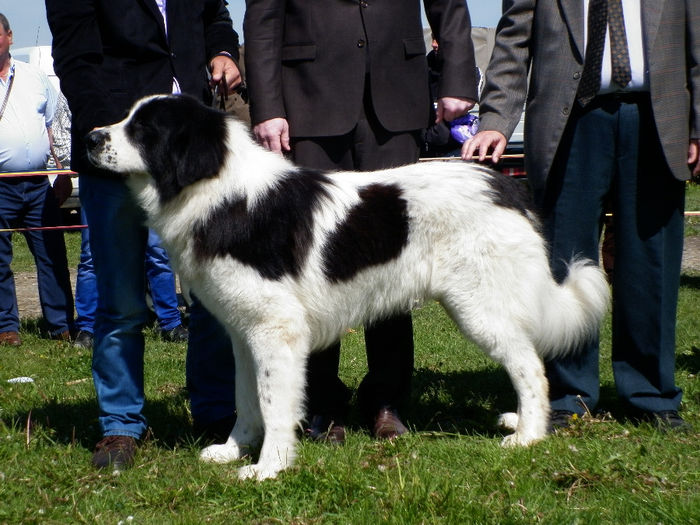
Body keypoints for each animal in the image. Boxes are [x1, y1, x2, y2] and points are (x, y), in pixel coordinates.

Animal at [85, 94, 608, 478]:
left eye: (143, 130)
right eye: (127, 119)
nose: (90, 137)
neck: (218, 190)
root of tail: (505, 185)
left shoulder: (277, 331)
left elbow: (274, 404)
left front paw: (268, 468)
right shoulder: (244, 332)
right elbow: (245, 399)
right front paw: (234, 449)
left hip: (479, 309)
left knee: (530, 367)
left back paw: (527, 435)